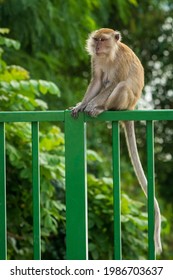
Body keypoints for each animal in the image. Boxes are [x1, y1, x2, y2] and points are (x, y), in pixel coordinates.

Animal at [70, 27, 162, 254]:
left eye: (103, 40)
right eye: (96, 40)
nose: (97, 46)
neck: (107, 55)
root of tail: (131, 107)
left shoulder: (119, 61)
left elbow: (112, 83)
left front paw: (90, 106)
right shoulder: (96, 60)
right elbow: (97, 81)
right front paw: (81, 105)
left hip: (126, 100)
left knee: (121, 86)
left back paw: (102, 108)